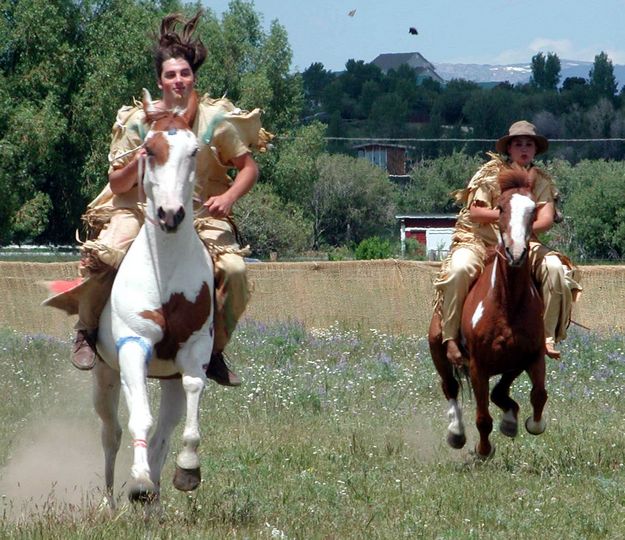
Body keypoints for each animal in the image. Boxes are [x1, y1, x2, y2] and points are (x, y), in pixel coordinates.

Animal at [428, 167, 544, 458]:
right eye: (500, 208)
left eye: (533, 210)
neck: (507, 303)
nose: (516, 252)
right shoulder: (478, 366)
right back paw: (456, 433)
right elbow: (482, 417)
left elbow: (538, 395)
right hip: (438, 349)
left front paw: (519, 423)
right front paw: (483, 450)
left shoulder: (533, 356)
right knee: (450, 387)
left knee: (498, 393)